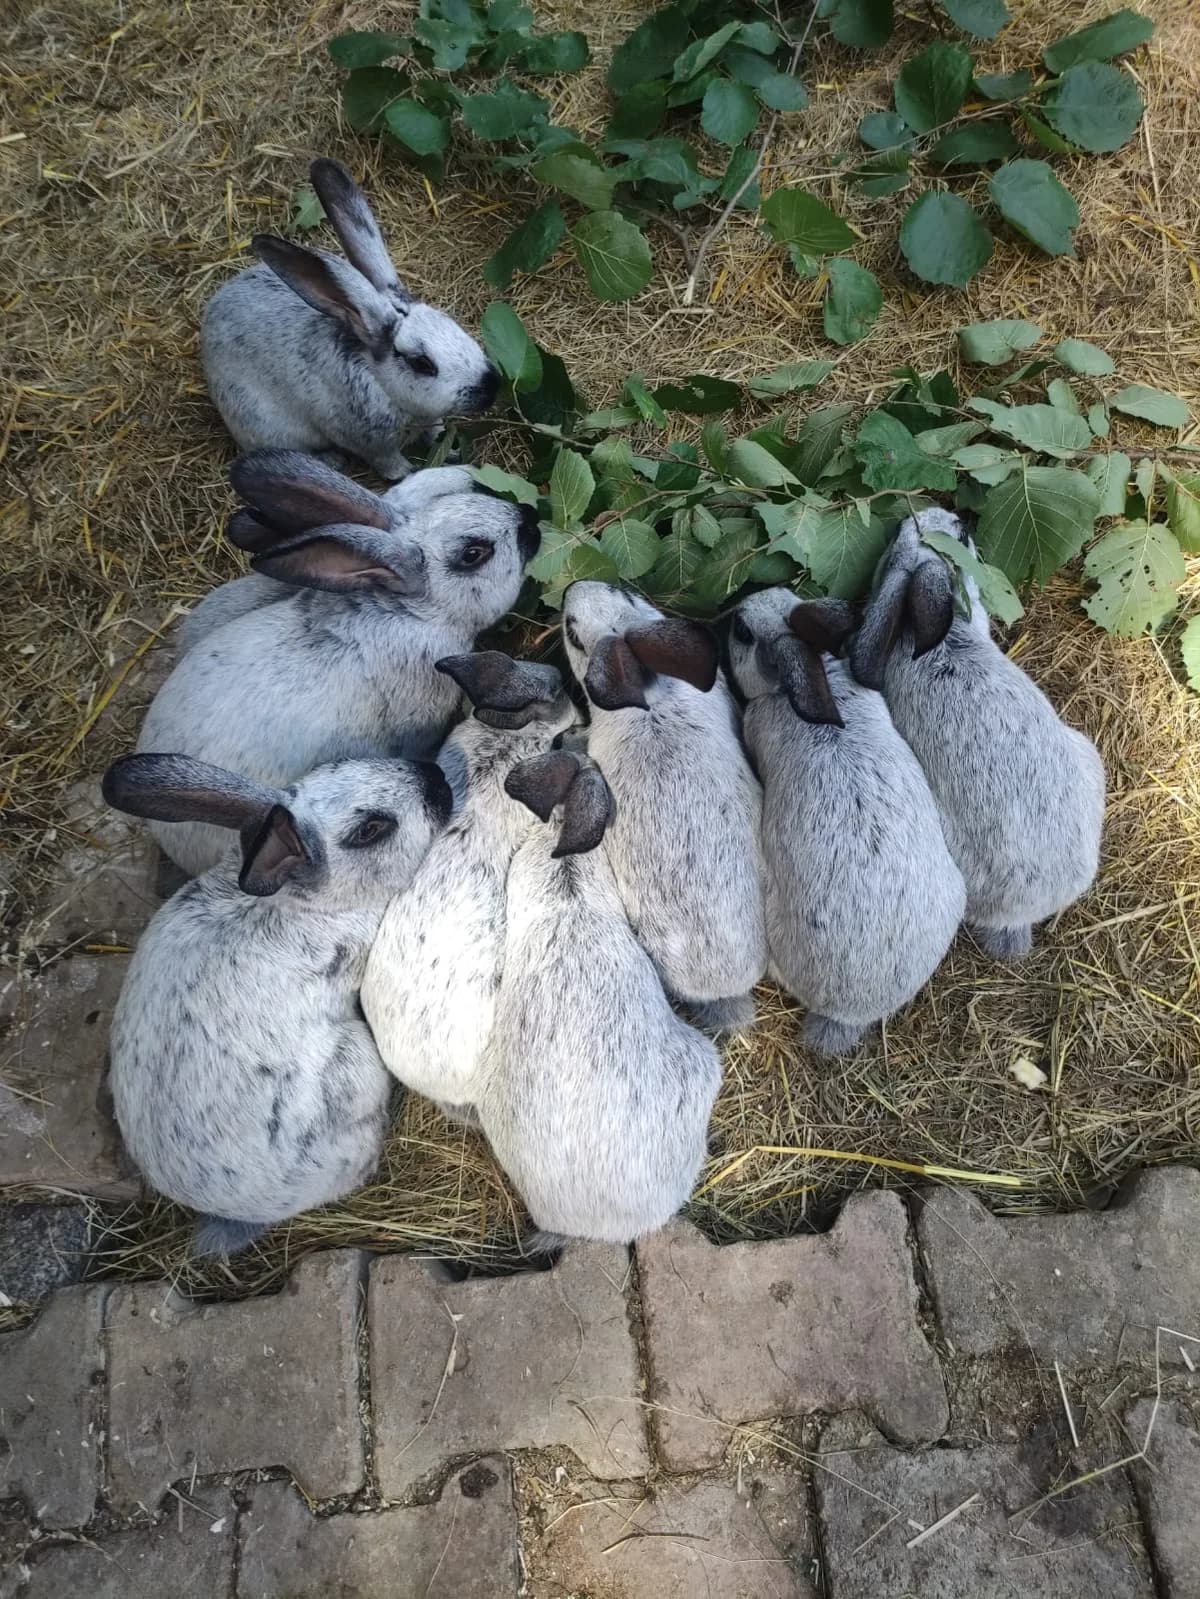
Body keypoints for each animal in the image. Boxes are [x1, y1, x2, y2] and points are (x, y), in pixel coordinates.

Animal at [101, 749, 453, 1256]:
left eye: (343, 761)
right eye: (370, 830)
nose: (437, 778)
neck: (300, 903)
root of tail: (241, 1212)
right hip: (355, 1060)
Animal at [200, 157, 499, 478]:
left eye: (452, 322)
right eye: (422, 363)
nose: (492, 386)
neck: (379, 380)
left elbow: (434, 431)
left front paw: (450, 449)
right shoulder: (372, 446)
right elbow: (390, 464)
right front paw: (408, 473)